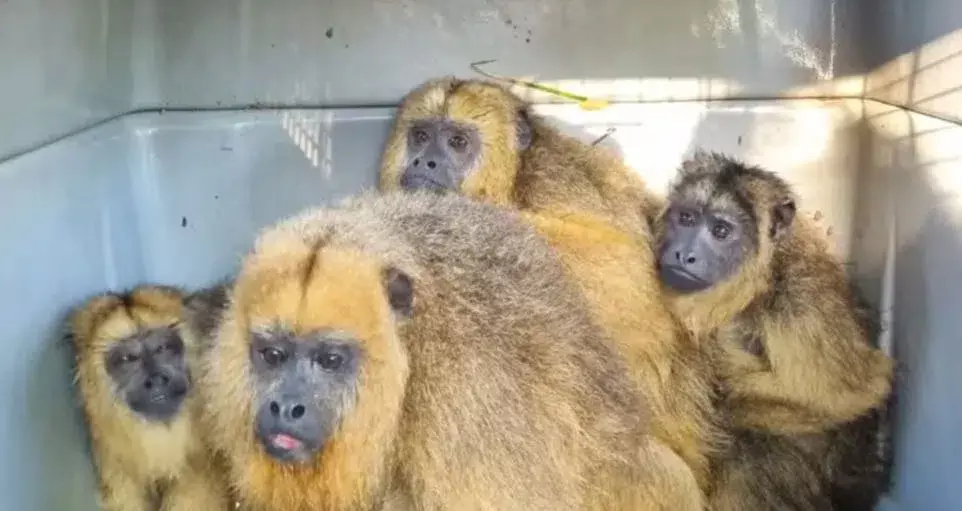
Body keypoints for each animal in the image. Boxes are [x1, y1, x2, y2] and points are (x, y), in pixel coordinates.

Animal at [378, 77, 721, 490]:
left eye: (457, 142)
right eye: (421, 135)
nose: (424, 161)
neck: (513, 181)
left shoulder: (557, 179)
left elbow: (624, 277)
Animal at [654, 150, 895, 510]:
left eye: (721, 230)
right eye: (686, 217)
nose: (685, 254)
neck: (754, 286)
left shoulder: (802, 303)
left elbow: (860, 390)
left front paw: (722, 399)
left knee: (755, 452)